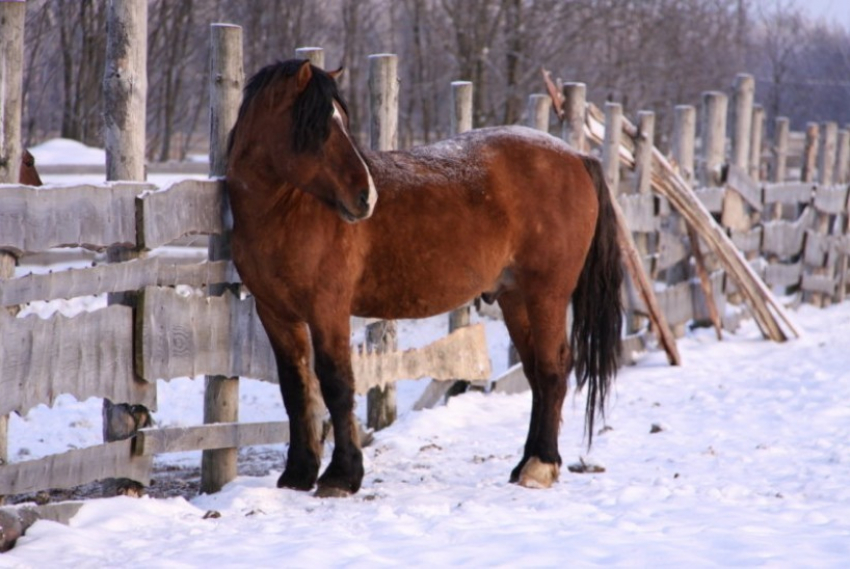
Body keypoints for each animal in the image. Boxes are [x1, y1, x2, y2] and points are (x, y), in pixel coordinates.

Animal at [225, 60, 624, 494]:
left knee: (553, 369)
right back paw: (524, 463)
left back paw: (540, 466)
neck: (287, 213)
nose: (366, 197)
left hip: (546, 295)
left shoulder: (327, 309)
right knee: (536, 372)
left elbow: (336, 382)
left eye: (340, 122)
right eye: (317, 127)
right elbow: (296, 387)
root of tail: (577, 157)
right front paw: (298, 474)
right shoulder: (276, 314)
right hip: (515, 298)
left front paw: (342, 475)